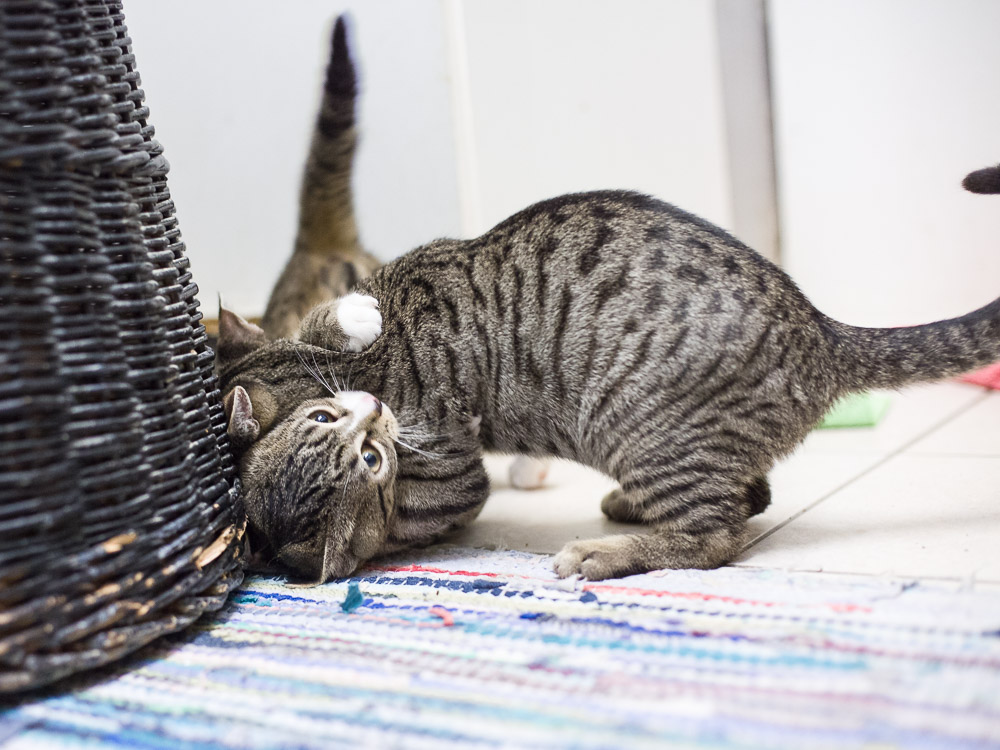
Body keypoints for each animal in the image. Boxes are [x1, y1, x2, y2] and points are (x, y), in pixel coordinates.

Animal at [219, 160, 1000, 588]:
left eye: (332, 422)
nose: (370, 413)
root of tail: (822, 332)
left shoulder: (441, 457)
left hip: (642, 430)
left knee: (716, 537)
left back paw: (604, 550)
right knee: (748, 498)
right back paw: (629, 513)